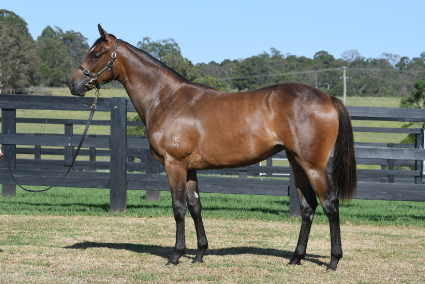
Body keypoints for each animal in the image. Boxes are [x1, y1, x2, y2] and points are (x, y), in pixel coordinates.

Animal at [68, 25, 354, 270]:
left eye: (95, 54)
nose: (73, 85)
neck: (166, 98)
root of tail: (327, 97)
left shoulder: (174, 164)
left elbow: (178, 208)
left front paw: (176, 255)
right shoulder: (190, 168)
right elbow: (195, 207)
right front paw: (200, 254)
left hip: (313, 165)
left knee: (330, 204)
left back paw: (333, 260)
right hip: (297, 163)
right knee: (308, 207)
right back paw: (296, 258)